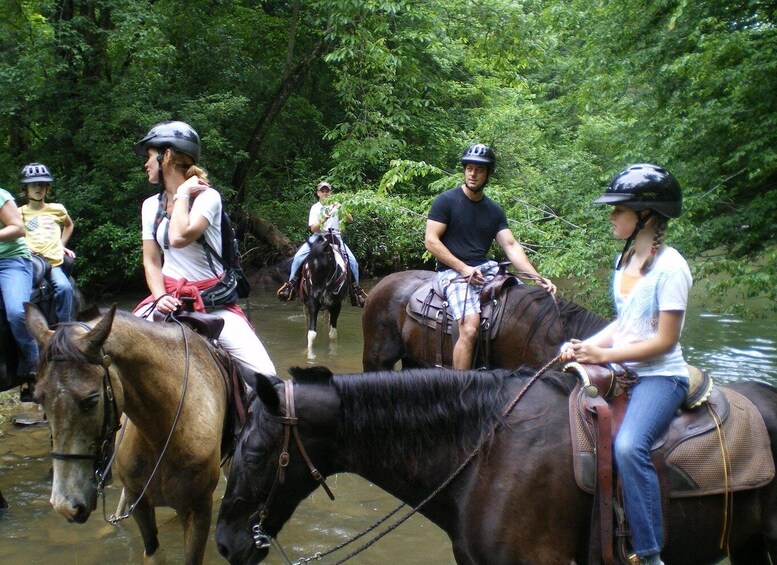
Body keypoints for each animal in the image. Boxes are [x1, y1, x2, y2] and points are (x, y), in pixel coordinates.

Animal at [26, 304, 233, 564]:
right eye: (39, 398)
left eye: (91, 400)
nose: (65, 505)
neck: (163, 432)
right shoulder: (140, 504)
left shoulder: (199, 509)